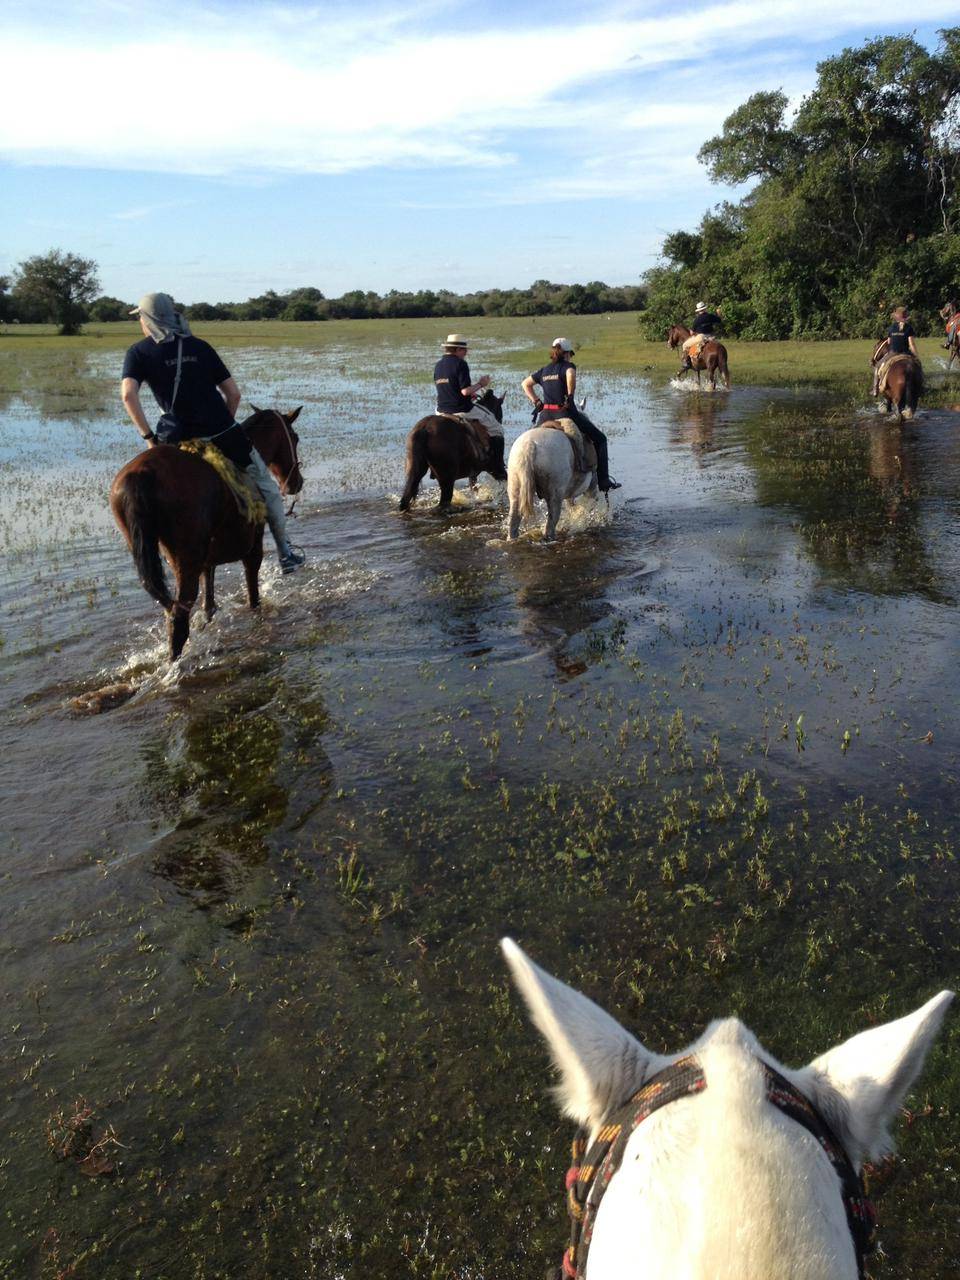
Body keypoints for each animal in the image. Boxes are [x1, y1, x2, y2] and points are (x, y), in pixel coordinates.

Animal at [112, 407, 308, 660]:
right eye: (295, 437)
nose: (296, 483)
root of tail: (141, 474)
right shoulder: (253, 551)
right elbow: (253, 597)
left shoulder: (207, 561)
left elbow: (209, 605)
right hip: (187, 561)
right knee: (178, 619)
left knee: (171, 612)